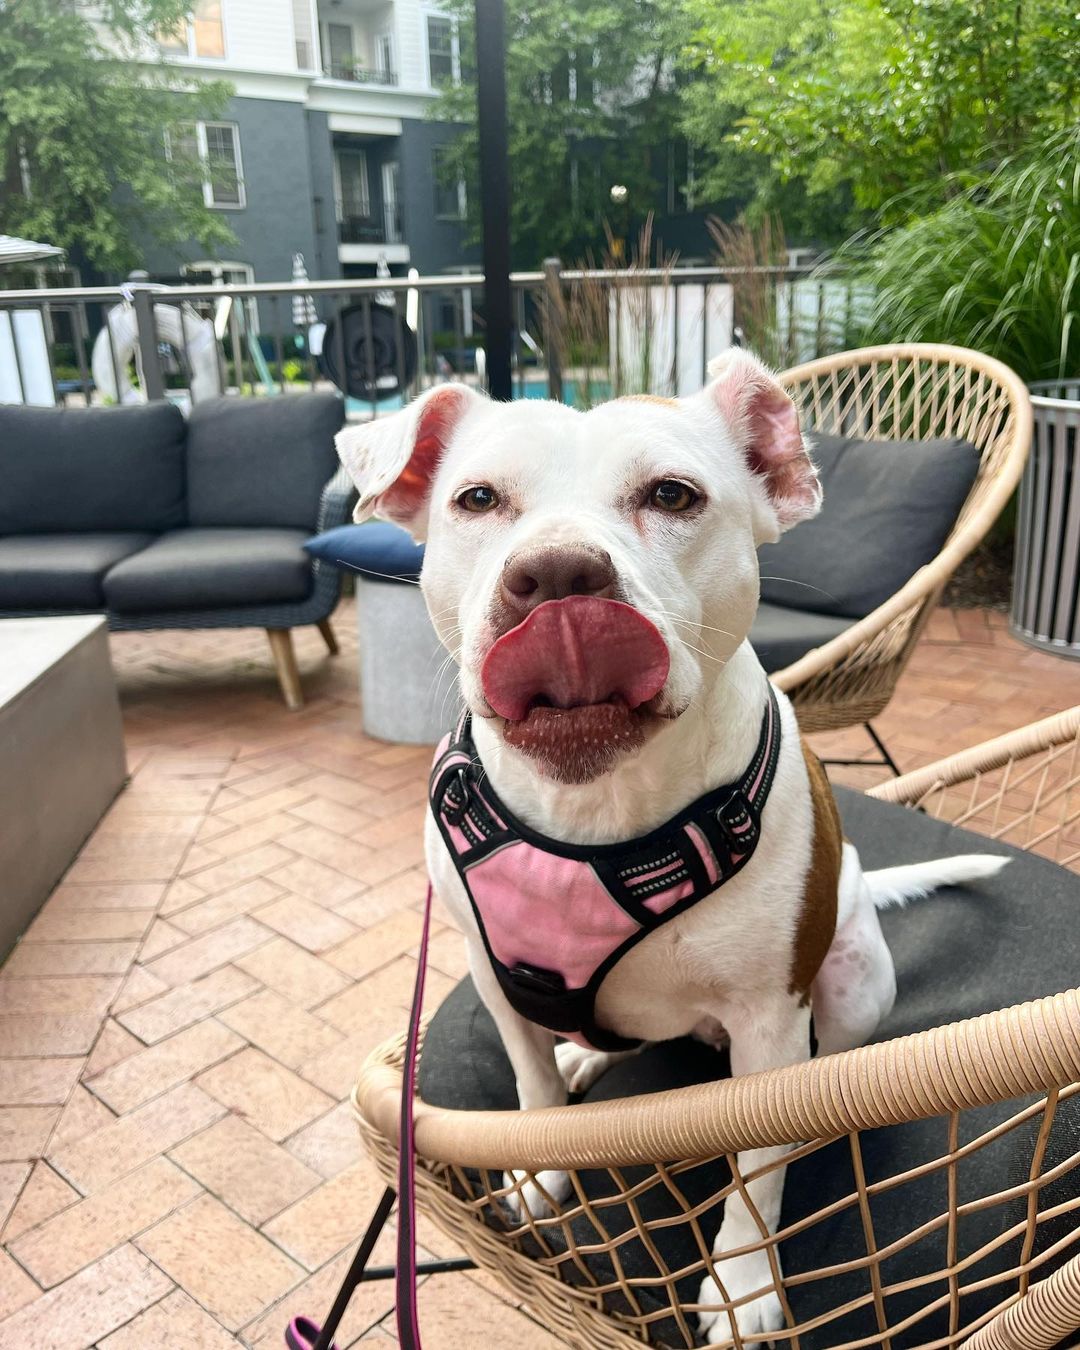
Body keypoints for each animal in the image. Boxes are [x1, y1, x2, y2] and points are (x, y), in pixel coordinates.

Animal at [340, 353, 1015, 1344]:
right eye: (477, 498)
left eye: (672, 494)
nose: (557, 575)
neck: (597, 809)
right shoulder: (495, 973)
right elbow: (531, 1090)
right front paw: (544, 1164)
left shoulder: (771, 1023)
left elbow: (754, 1174)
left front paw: (743, 1283)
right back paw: (587, 1055)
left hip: (855, 984)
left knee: (815, 1092)